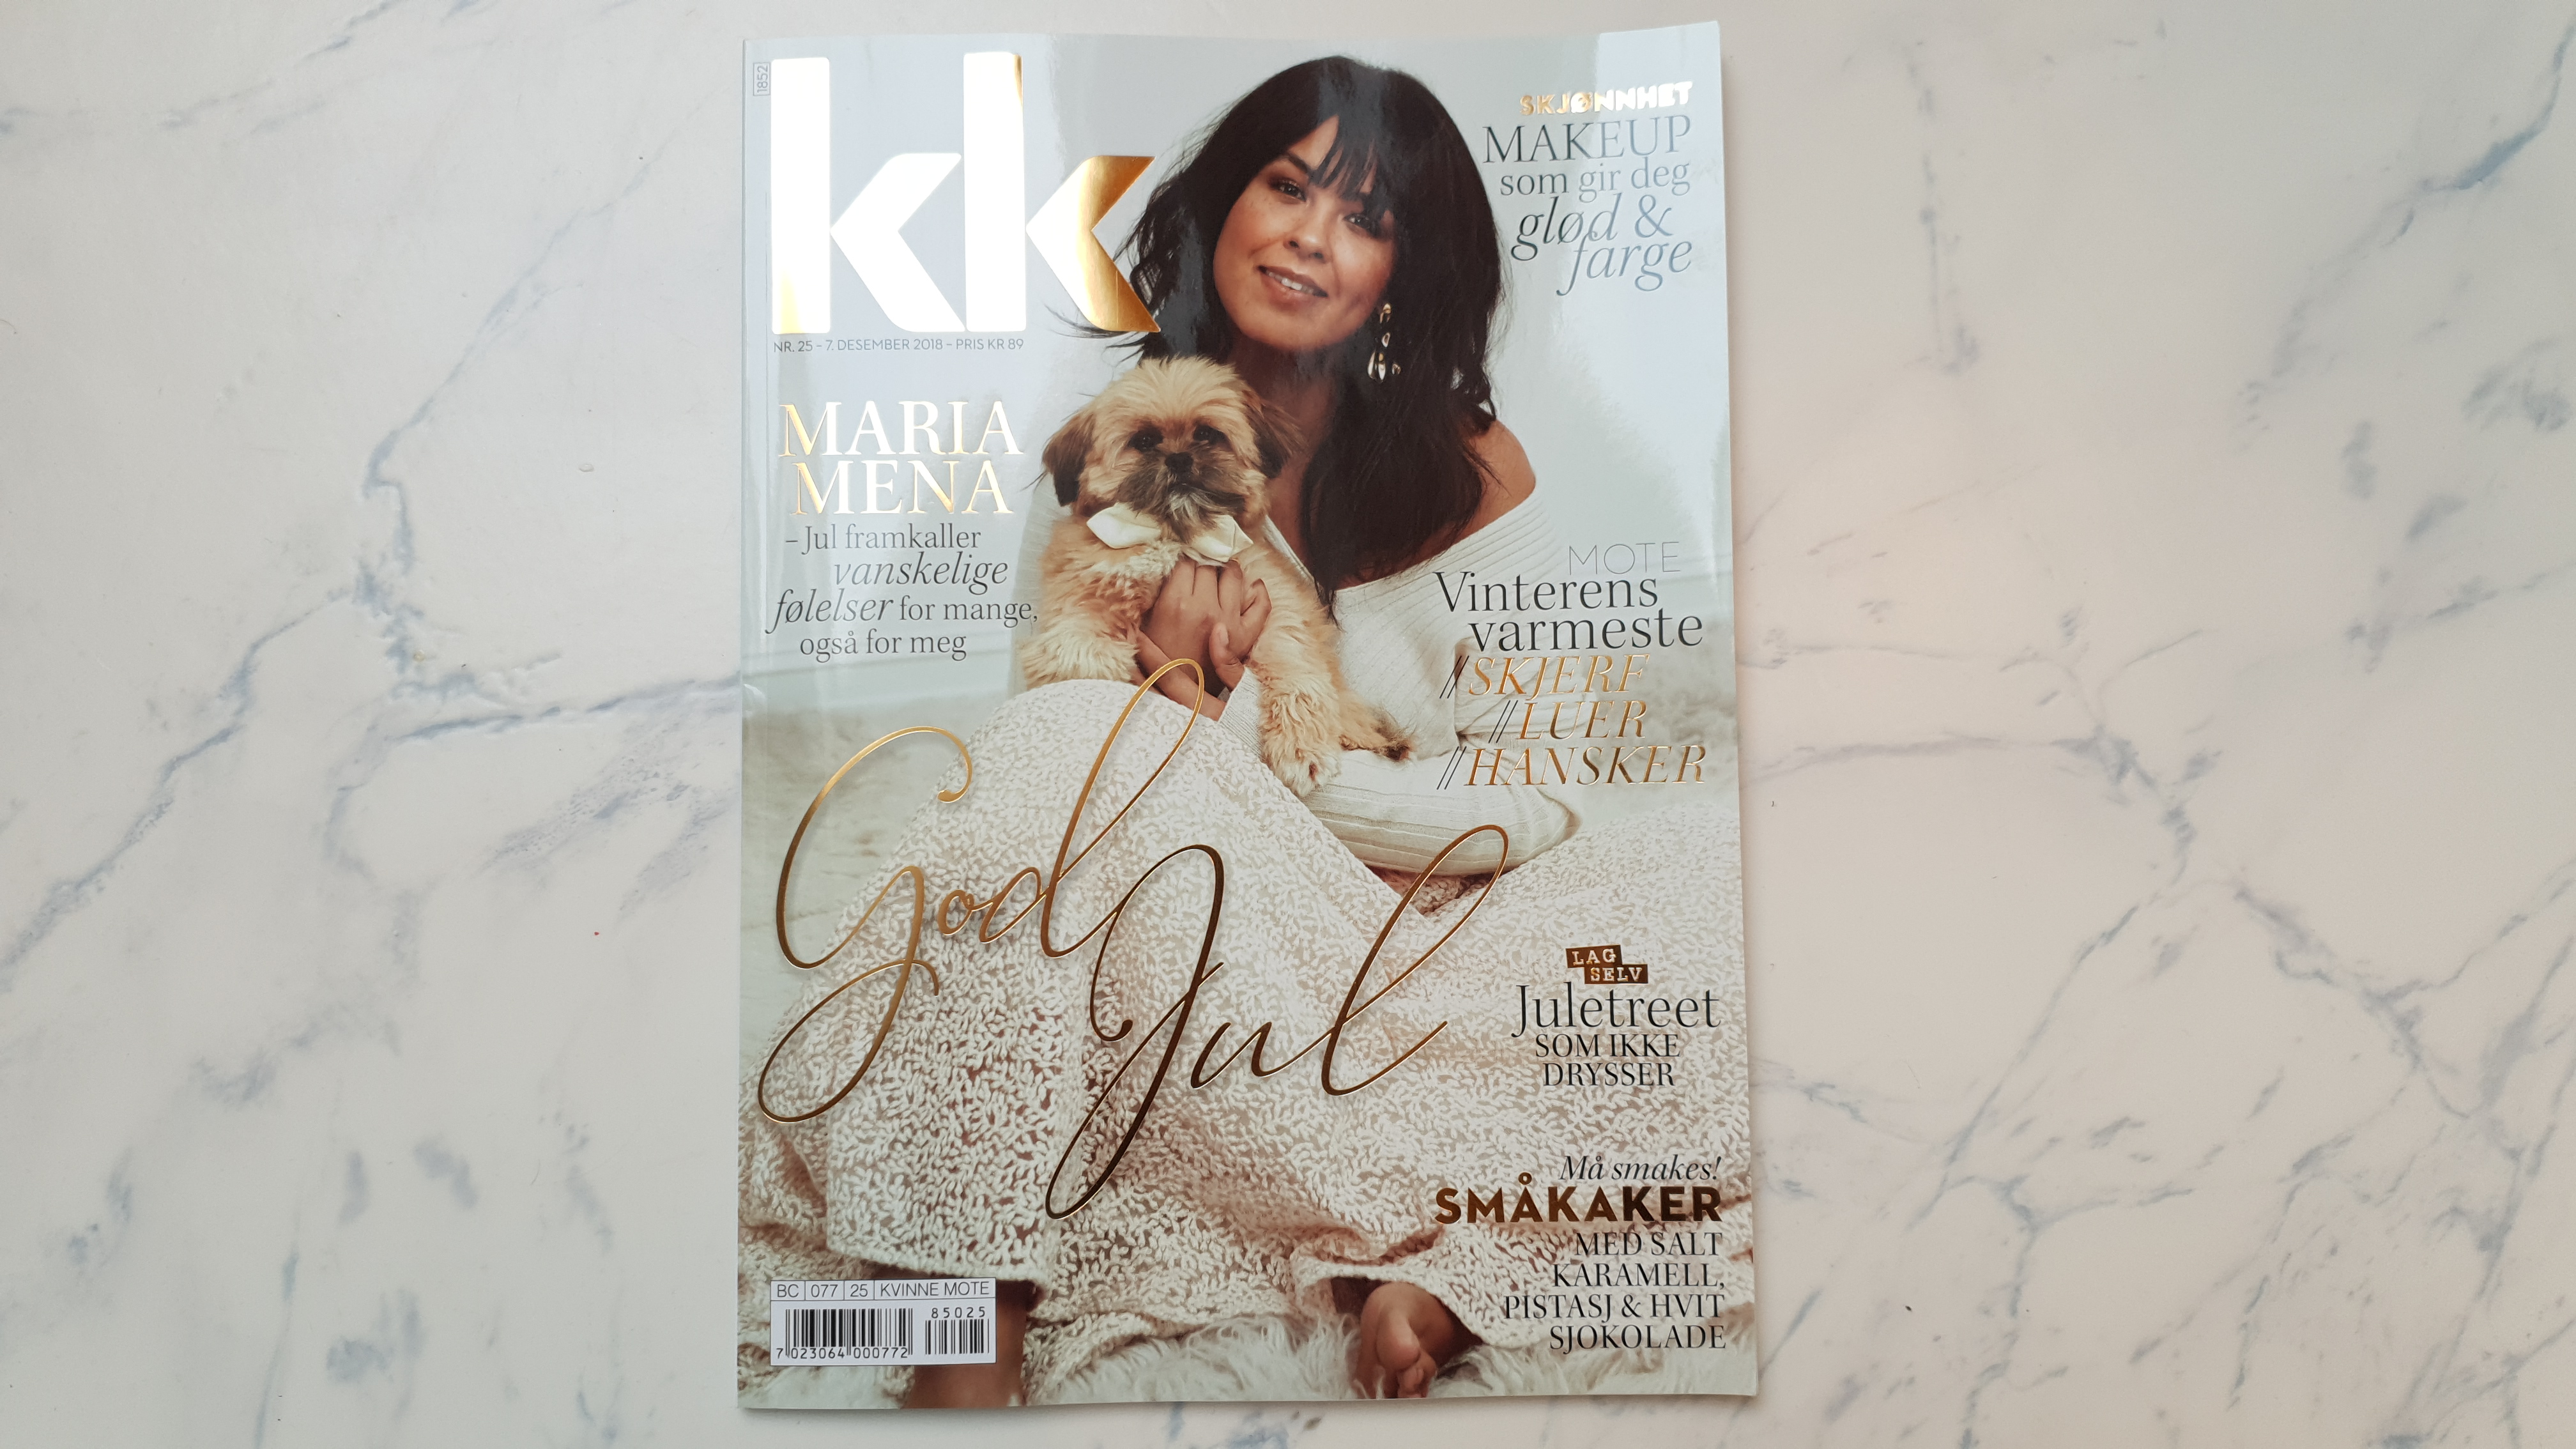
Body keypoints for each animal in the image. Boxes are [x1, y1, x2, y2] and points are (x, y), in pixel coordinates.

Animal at [1022, 356, 1412, 794]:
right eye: (1144, 441)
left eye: (1208, 435)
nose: (1178, 459)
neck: (1182, 537)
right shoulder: (1075, 616)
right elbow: (1081, 656)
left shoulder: (1276, 609)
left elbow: (1293, 666)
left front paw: (1301, 746)